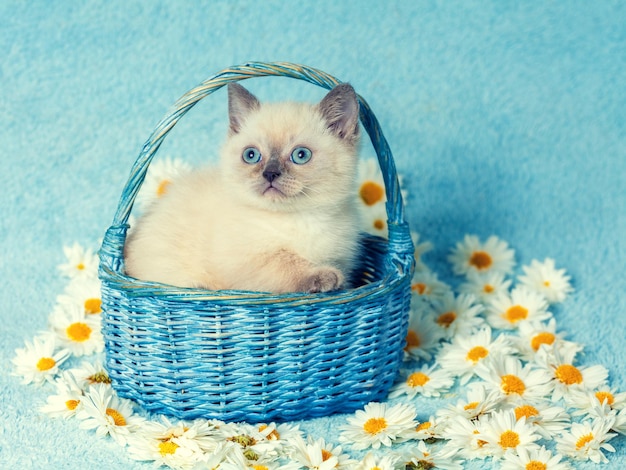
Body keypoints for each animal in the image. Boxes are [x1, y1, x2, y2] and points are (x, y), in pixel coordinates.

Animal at [123, 82, 360, 292]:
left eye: (301, 155)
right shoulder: (246, 262)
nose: (270, 174)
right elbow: (286, 261)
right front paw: (324, 276)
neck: (301, 217)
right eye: (251, 155)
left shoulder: (342, 258)